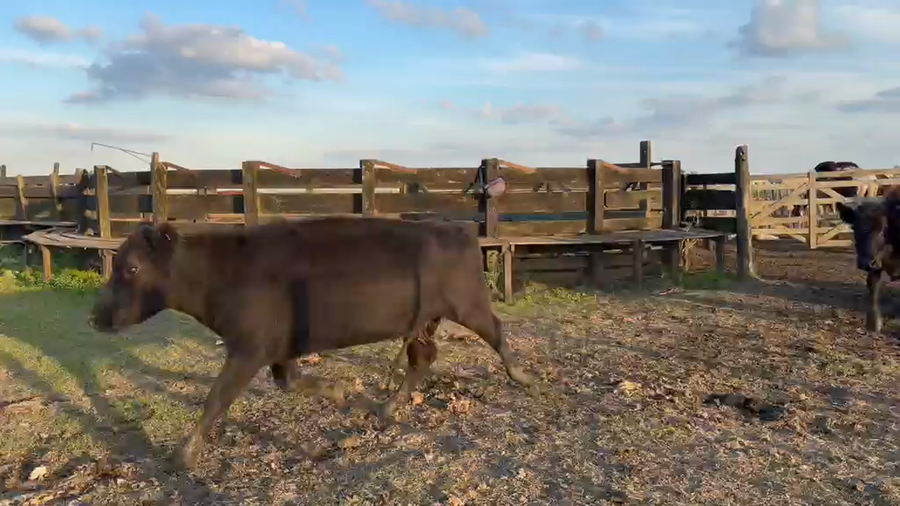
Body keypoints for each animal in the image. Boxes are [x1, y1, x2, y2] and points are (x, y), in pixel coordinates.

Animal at [87, 217, 536, 470]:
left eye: (131, 268)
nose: (96, 317)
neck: (223, 271)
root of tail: (459, 232)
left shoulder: (248, 348)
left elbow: (216, 399)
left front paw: (183, 456)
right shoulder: (278, 350)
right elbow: (289, 382)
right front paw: (337, 391)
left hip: (468, 304)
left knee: (495, 330)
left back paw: (521, 375)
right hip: (424, 319)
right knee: (422, 357)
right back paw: (387, 407)